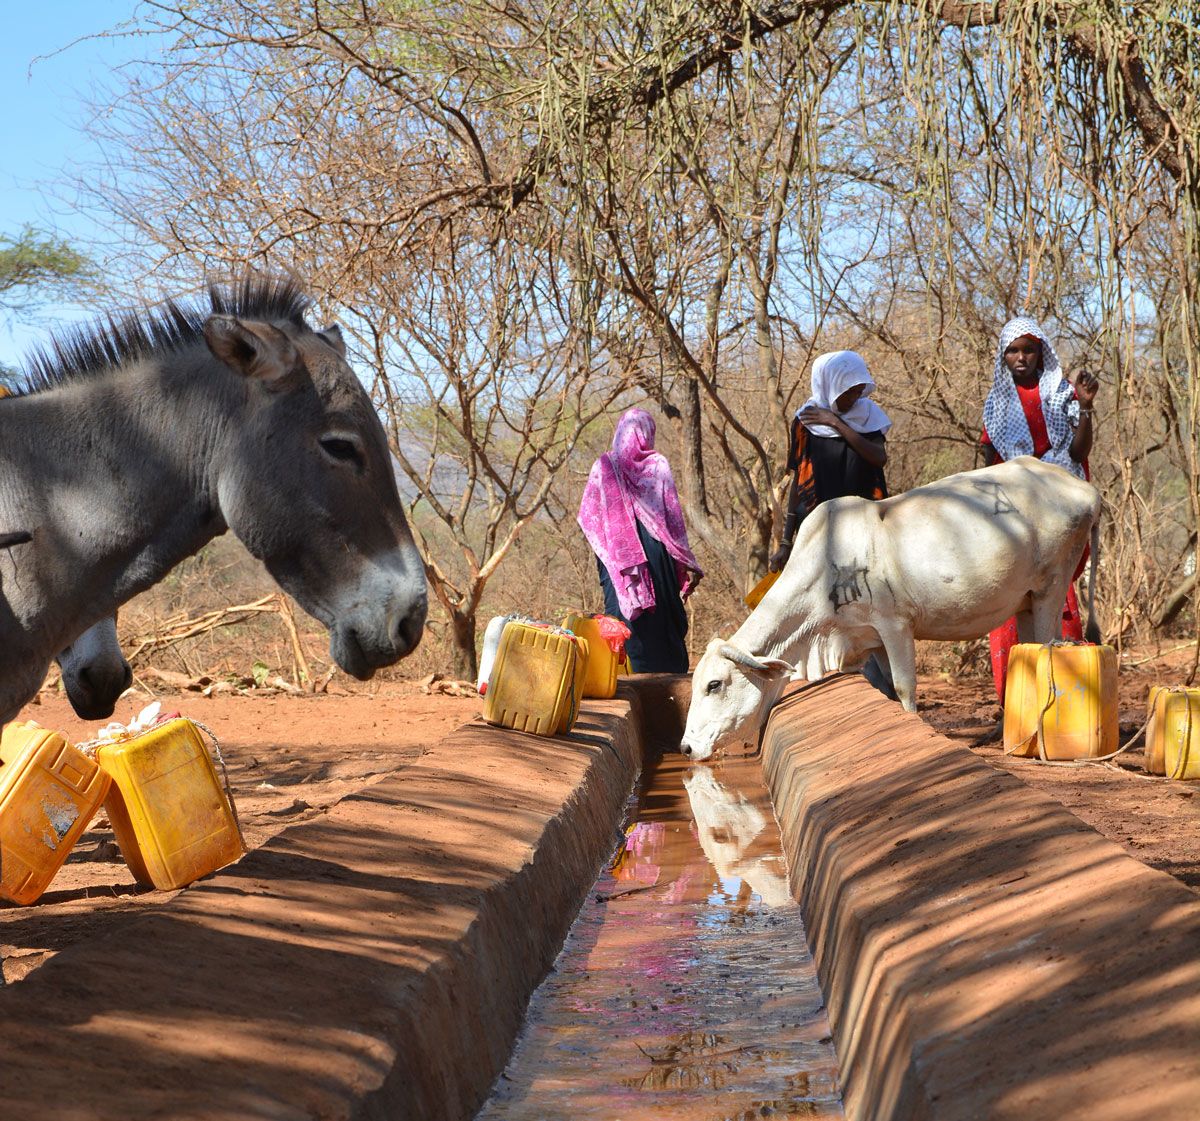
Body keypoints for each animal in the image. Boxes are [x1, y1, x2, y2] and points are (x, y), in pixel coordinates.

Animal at [681, 458, 1099, 763]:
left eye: (714, 684)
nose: (685, 747)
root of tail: (1084, 489)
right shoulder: (871, 638)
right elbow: (886, 690)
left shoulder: (896, 624)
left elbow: (903, 687)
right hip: (1026, 601)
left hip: (1051, 587)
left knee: (1048, 645)